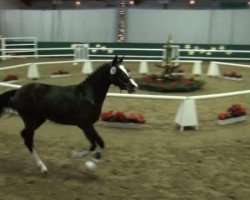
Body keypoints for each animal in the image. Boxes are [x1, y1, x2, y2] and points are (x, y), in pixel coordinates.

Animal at [0, 55, 138, 173]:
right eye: (120, 72)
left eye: (126, 70)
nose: (134, 86)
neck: (88, 95)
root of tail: (18, 91)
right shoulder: (85, 125)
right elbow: (96, 144)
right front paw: (86, 161)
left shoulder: (87, 126)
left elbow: (97, 144)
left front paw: (86, 161)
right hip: (30, 119)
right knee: (27, 137)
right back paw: (42, 167)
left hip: (38, 120)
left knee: (25, 136)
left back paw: (41, 165)